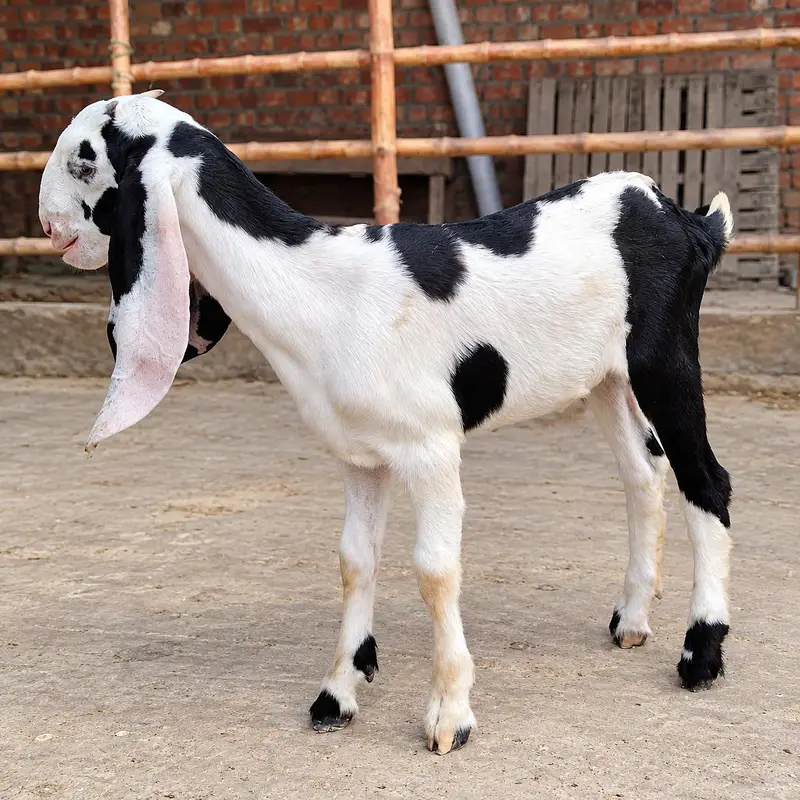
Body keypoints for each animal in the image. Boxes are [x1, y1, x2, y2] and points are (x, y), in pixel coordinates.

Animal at [39, 91, 734, 755]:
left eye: (84, 160)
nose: (49, 228)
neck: (316, 289)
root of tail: (680, 216)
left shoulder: (431, 448)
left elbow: (434, 570)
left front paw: (449, 716)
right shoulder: (361, 455)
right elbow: (355, 560)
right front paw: (337, 694)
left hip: (664, 357)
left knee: (706, 480)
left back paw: (700, 654)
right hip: (608, 377)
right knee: (642, 473)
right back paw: (632, 620)